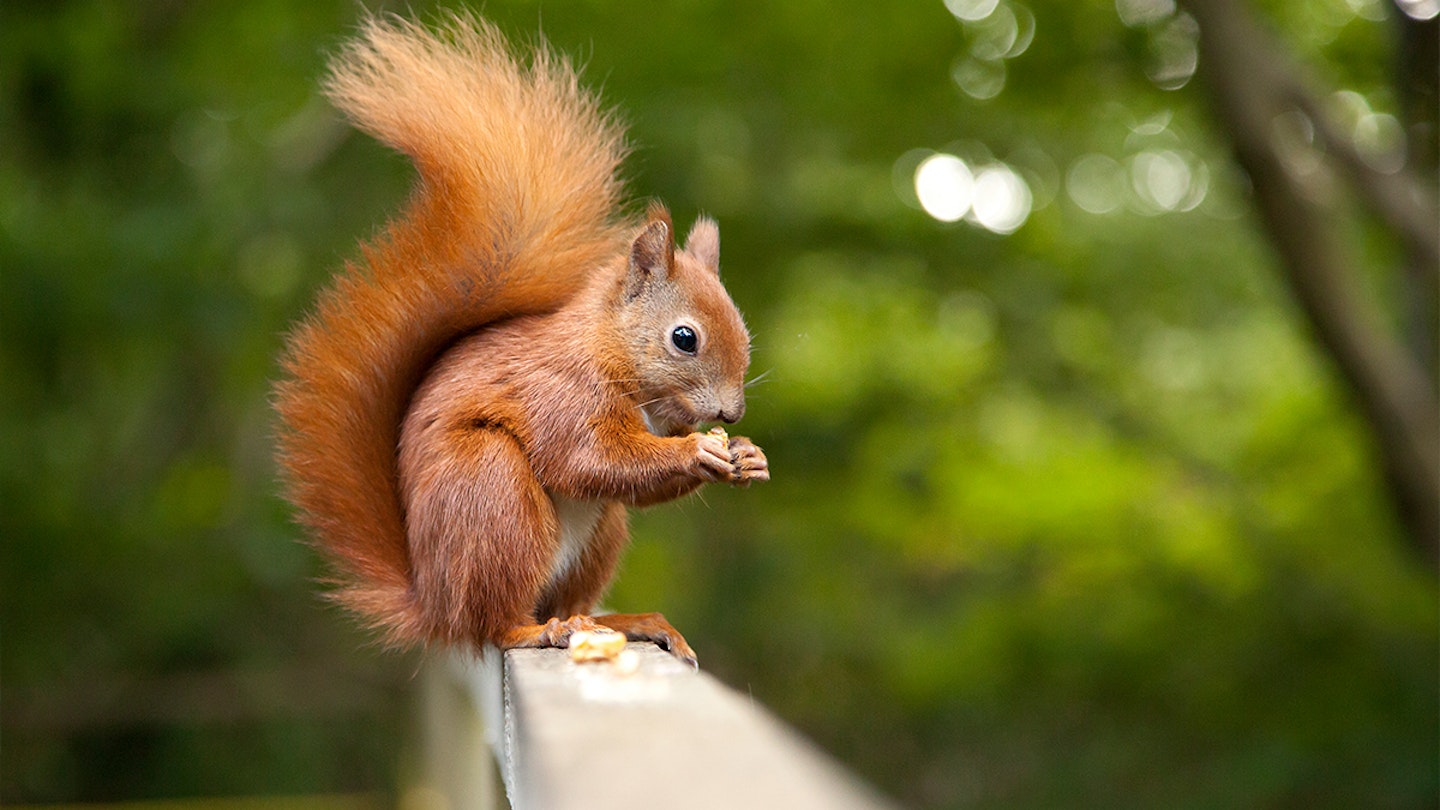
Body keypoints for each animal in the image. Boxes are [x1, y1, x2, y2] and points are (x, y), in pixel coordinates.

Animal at [273, 13, 768, 666]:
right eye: (684, 338)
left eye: (744, 333)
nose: (731, 415)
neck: (609, 353)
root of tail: (433, 603)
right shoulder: (560, 394)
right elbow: (592, 459)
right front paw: (698, 452)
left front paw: (749, 456)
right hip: (494, 494)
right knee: (496, 622)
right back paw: (534, 631)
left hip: (595, 536)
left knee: (568, 598)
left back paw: (623, 621)